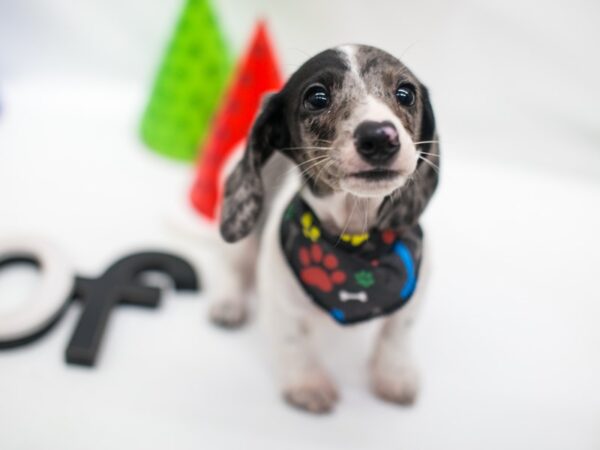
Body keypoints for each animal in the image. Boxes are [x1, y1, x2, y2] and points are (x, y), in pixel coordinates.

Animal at [206, 44, 436, 414]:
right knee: (234, 269)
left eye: (406, 93)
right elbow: (294, 342)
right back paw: (228, 303)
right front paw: (307, 384)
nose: (379, 136)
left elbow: (396, 334)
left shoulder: (415, 294)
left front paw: (394, 375)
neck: (356, 240)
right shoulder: (282, 301)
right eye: (317, 97)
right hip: (242, 240)